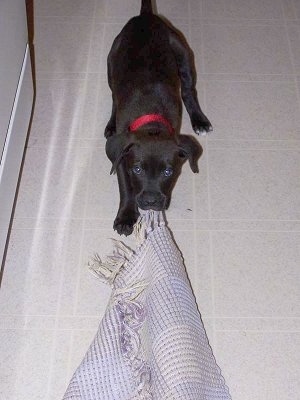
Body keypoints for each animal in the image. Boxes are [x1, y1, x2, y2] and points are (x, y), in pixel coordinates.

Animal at [105, 0, 211, 236]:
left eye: (167, 171)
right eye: (137, 169)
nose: (152, 202)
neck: (151, 117)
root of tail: (145, 16)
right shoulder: (122, 157)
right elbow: (125, 187)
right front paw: (126, 216)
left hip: (183, 55)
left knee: (188, 91)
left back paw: (200, 120)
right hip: (111, 62)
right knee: (114, 96)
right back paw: (110, 124)